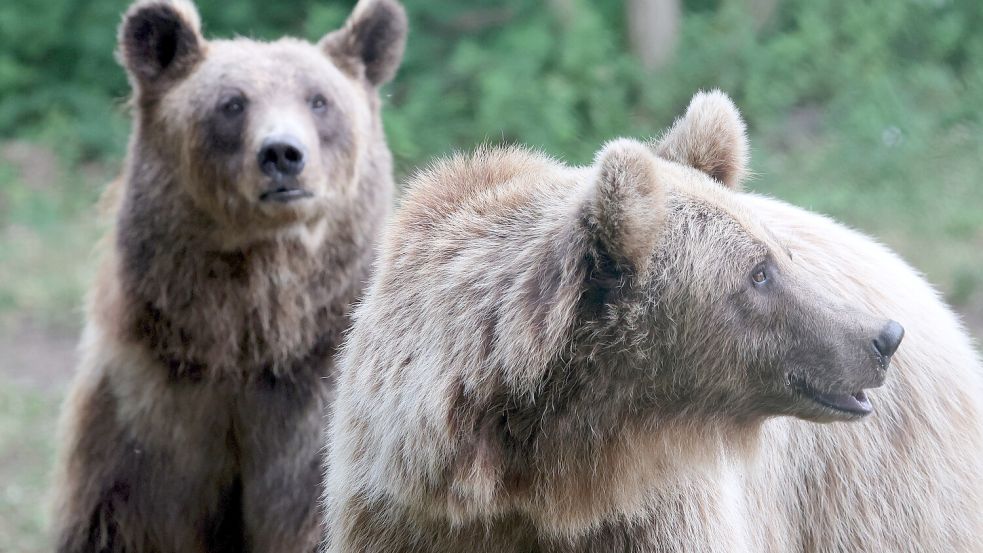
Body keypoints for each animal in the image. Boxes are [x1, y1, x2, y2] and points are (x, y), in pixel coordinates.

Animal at [52, 0, 406, 548]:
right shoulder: (149, 413)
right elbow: (123, 517)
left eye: (319, 100)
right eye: (232, 103)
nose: (282, 154)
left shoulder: (314, 422)